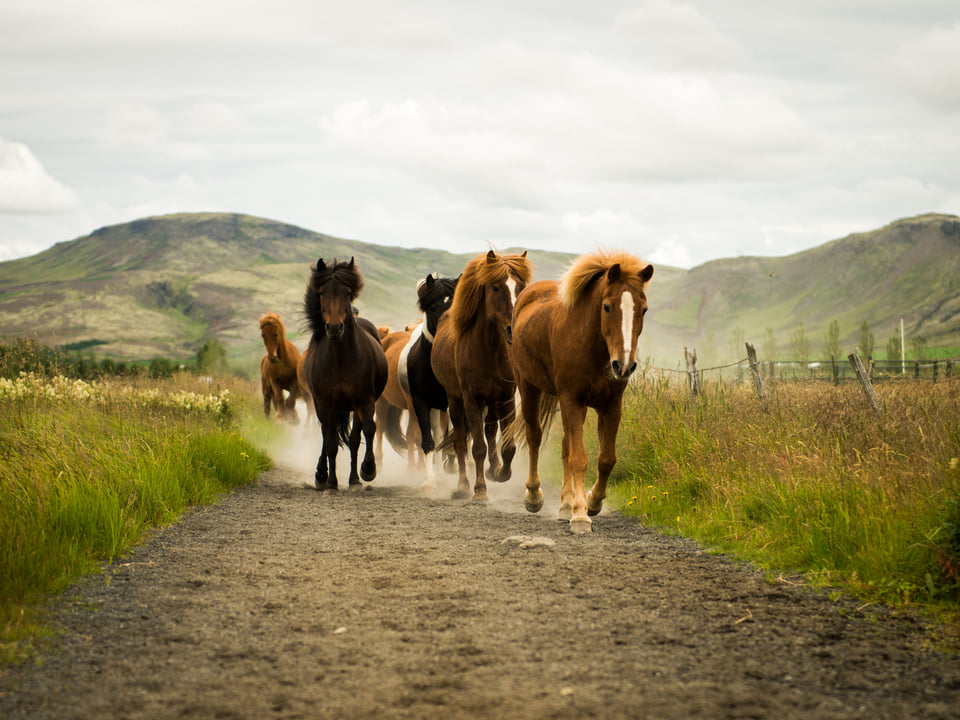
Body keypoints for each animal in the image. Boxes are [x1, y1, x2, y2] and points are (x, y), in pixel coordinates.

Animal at [302, 258, 388, 490]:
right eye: (322, 292)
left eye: (348, 293)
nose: (334, 328)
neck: (340, 359)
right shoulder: (325, 404)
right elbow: (331, 443)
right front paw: (331, 482)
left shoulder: (364, 401)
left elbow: (366, 431)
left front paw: (367, 470)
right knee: (326, 435)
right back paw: (322, 474)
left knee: (354, 437)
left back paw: (354, 478)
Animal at [431, 251, 532, 501]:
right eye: (495, 288)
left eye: (521, 286)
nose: (513, 329)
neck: (489, 351)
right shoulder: (472, 400)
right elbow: (477, 447)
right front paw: (479, 490)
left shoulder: (506, 399)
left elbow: (507, 446)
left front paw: (499, 473)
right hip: (455, 401)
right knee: (460, 441)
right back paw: (462, 485)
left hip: (492, 403)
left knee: (490, 431)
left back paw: (493, 468)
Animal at [509, 250, 653, 533]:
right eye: (607, 307)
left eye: (643, 309)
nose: (624, 365)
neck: (591, 346)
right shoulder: (571, 400)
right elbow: (578, 458)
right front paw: (579, 515)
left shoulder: (611, 405)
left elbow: (606, 459)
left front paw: (592, 502)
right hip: (528, 388)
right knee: (534, 437)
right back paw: (534, 496)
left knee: (565, 446)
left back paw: (565, 504)